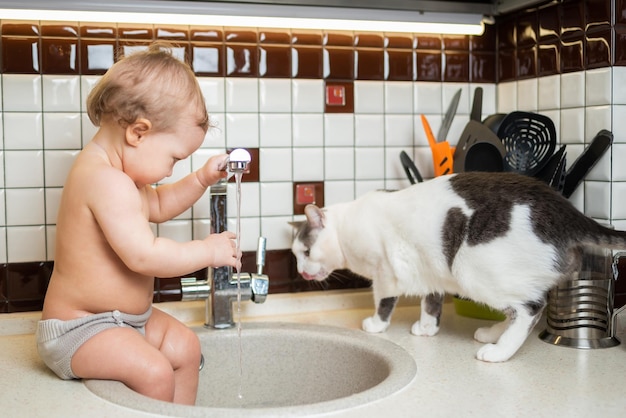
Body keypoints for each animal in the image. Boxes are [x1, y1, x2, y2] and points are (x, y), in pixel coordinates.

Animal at [292, 172, 624, 362]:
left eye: (306, 251)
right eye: (296, 254)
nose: (300, 272)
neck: (346, 228)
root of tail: (567, 211)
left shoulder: (384, 271)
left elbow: (384, 302)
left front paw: (376, 325)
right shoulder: (430, 270)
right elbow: (431, 303)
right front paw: (427, 329)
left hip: (470, 268)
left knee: (531, 309)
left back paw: (499, 352)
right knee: (518, 309)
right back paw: (493, 335)